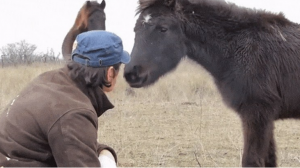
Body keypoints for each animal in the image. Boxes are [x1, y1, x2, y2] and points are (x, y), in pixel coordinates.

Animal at [123, 0, 300, 167]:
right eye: (135, 29)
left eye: (163, 28)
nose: (131, 74)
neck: (237, 49)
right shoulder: (264, 119)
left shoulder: (257, 114)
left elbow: (251, 161)